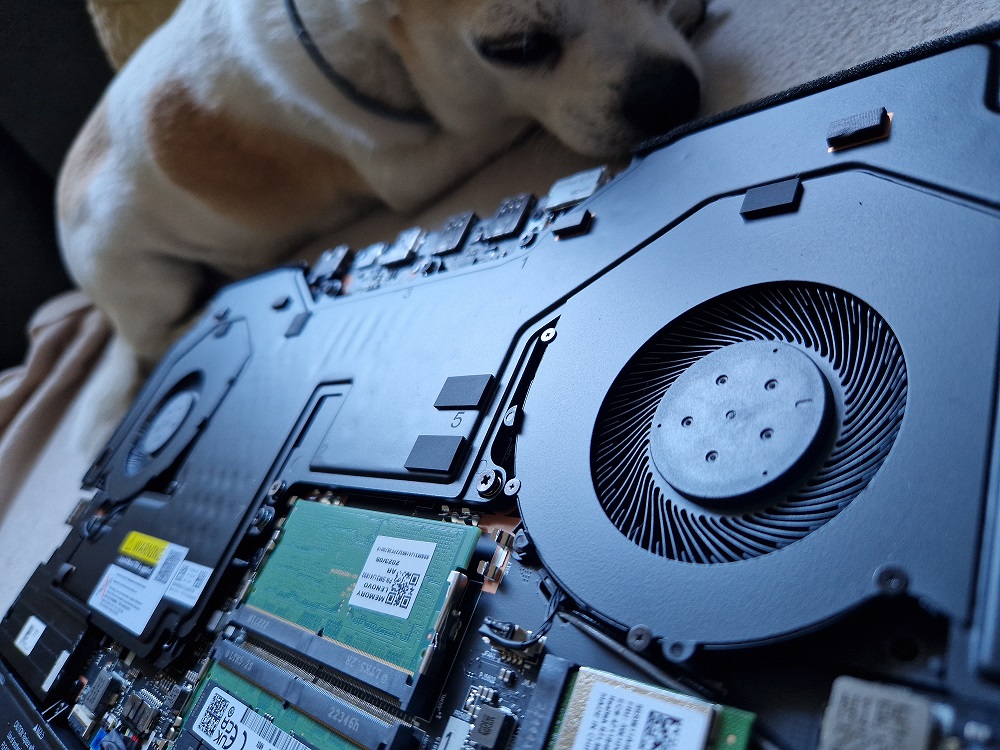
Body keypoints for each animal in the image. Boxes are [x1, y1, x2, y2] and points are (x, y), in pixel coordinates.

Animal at [57, 0, 705, 368]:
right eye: (516, 49)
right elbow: (498, 122)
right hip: (145, 275)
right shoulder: (413, 169)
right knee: (155, 339)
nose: (670, 94)